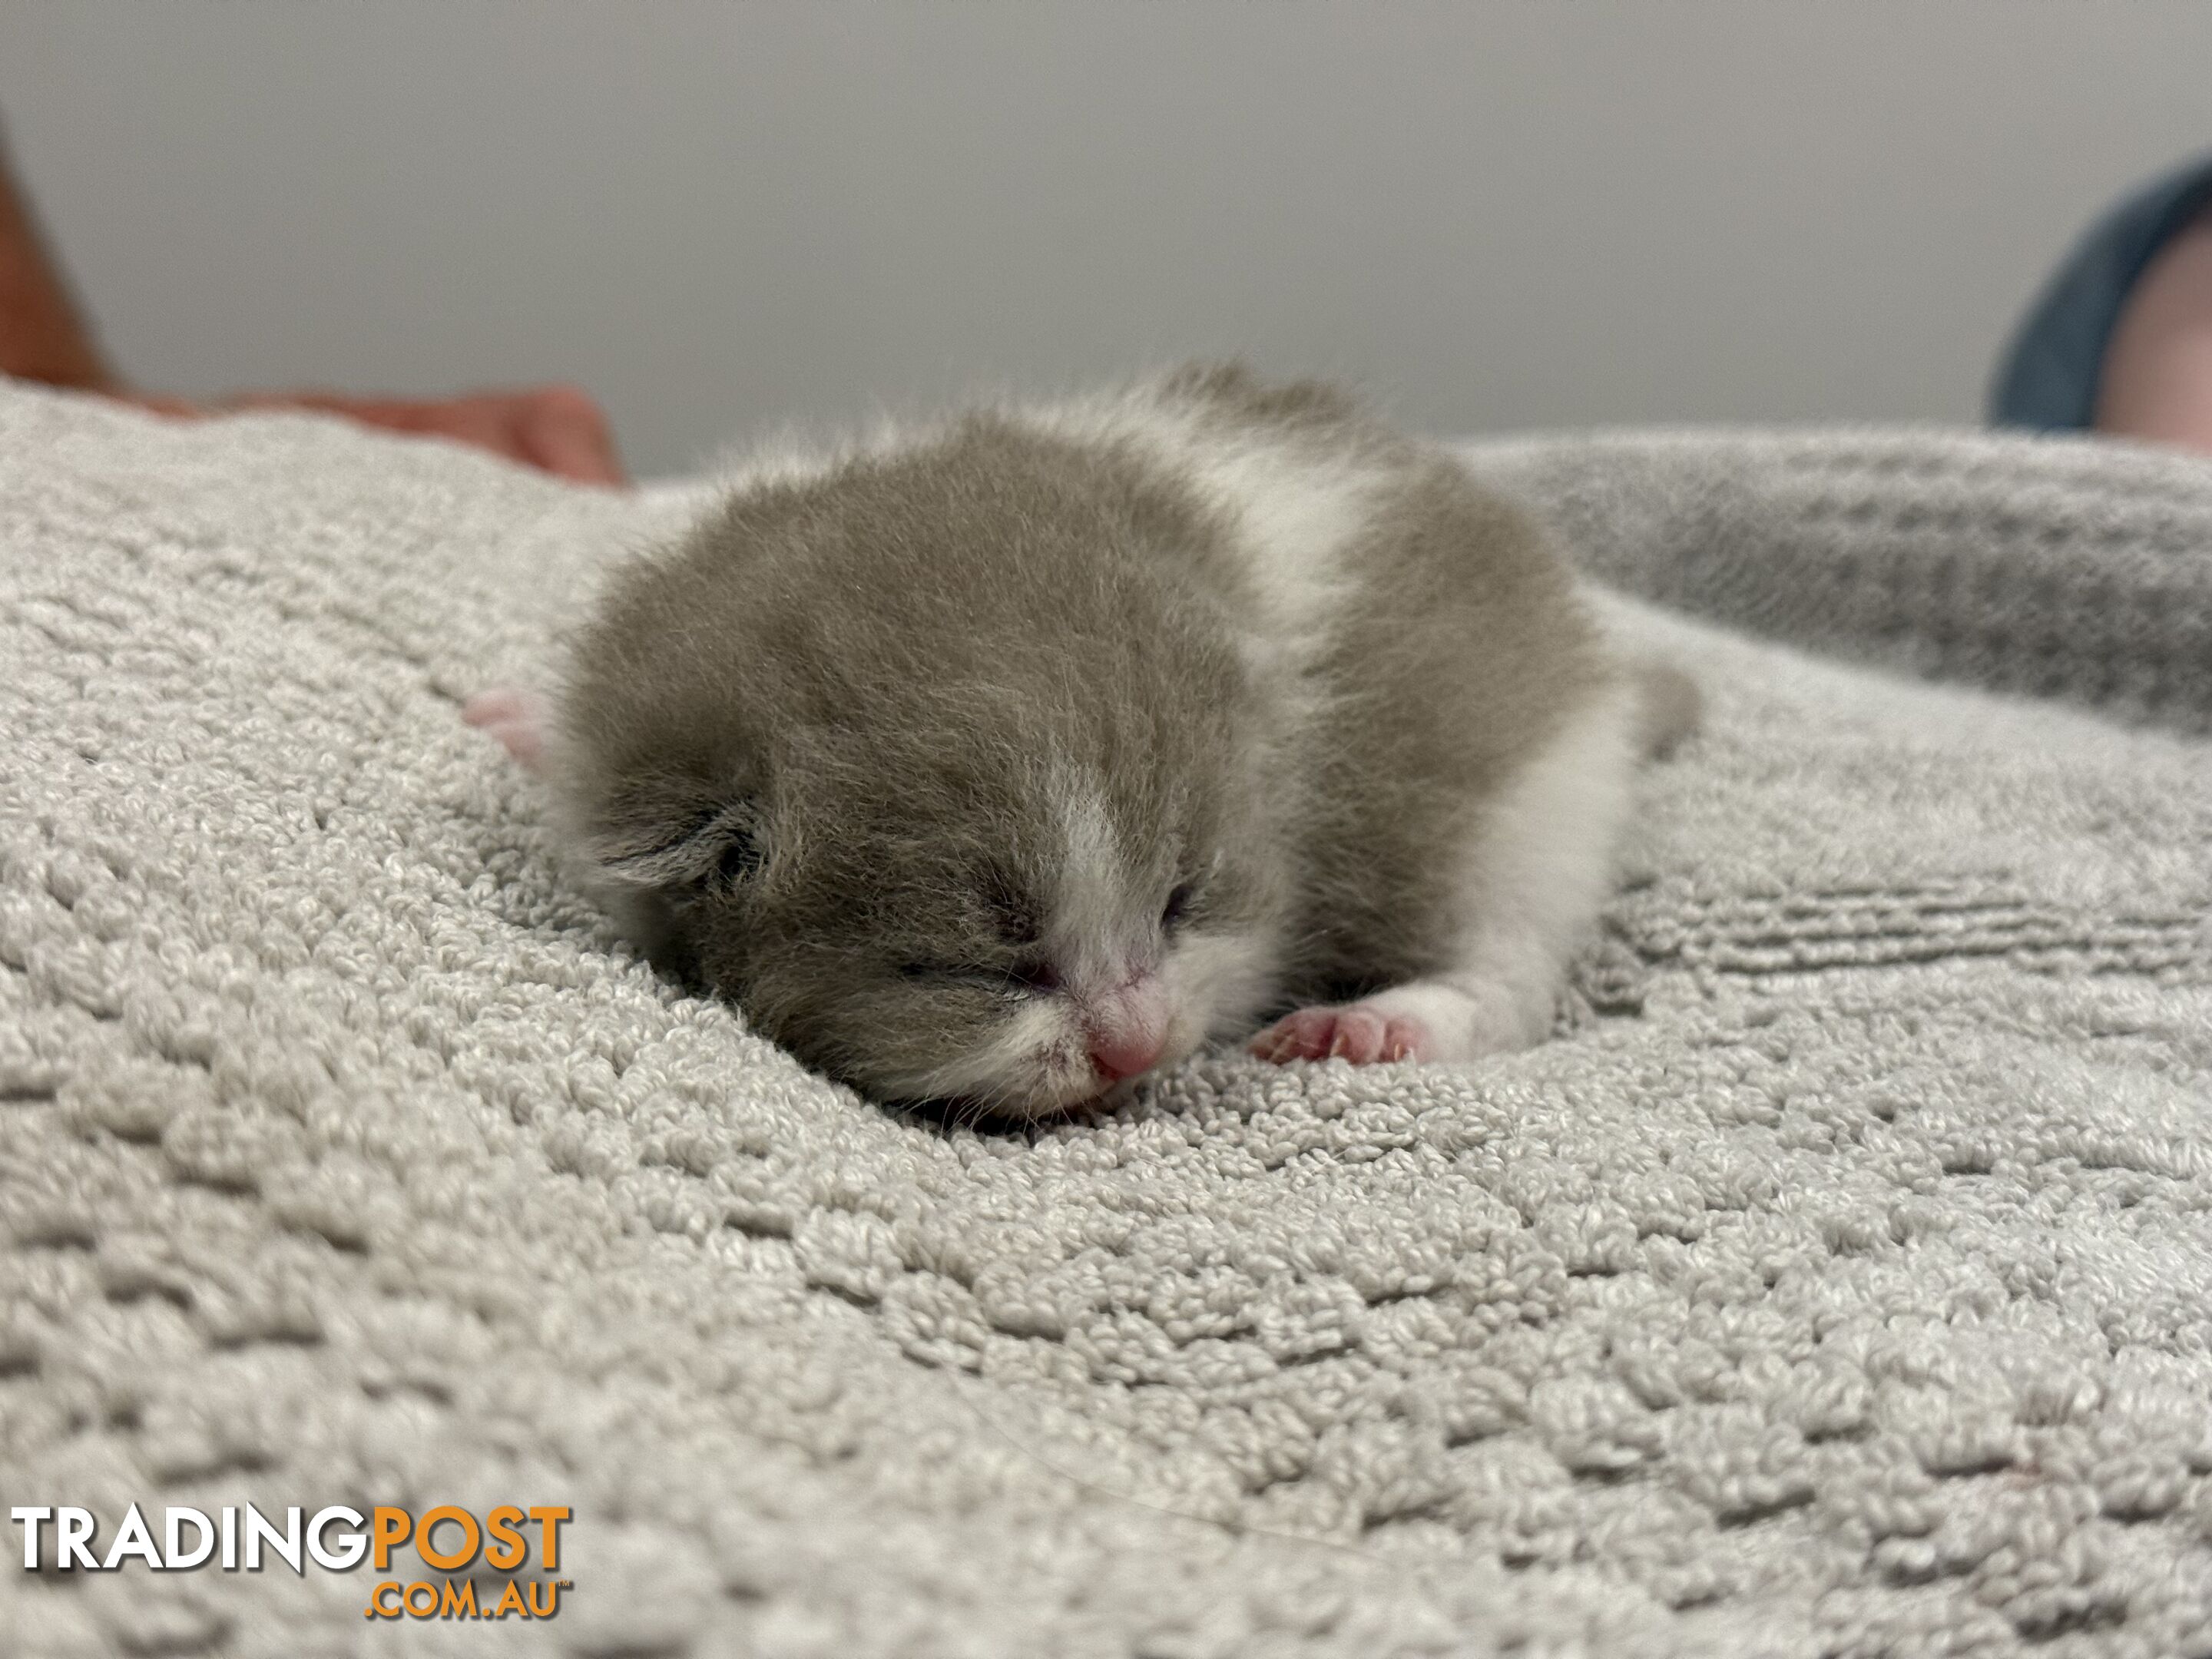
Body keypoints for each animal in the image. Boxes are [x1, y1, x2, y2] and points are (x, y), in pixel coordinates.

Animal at [471, 363, 1690, 1119]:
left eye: (1183, 903)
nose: (1135, 1046)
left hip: (1533, 800)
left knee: (1513, 963)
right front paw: (530, 721)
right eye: (971, 968)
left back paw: (1393, 1022)